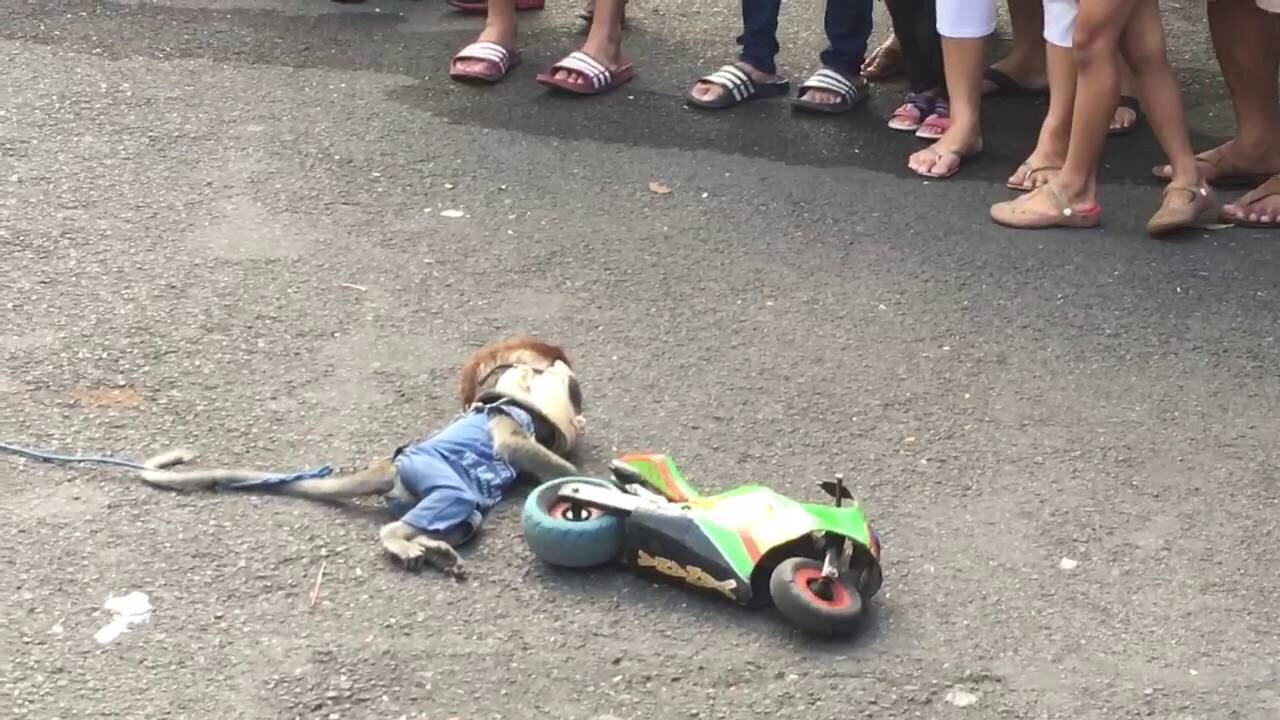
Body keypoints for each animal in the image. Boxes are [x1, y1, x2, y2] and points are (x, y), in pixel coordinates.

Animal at [133, 338, 586, 579]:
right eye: (573, 390)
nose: (581, 417)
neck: (510, 402)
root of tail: (391, 465)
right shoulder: (510, 422)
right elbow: (515, 448)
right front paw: (573, 476)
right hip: (429, 471)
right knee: (452, 499)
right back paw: (400, 539)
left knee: (466, 515)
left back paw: (431, 546)